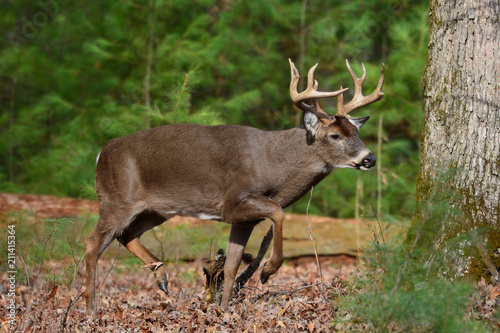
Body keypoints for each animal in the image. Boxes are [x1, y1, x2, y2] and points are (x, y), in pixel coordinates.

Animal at [86, 57, 384, 314]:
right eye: (335, 135)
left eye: (356, 132)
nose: (370, 158)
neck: (273, 166)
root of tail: (101, 153)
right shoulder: (233, 202)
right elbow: (278, 212)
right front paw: (268, 270)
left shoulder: (243, 220)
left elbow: (230, 266)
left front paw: (224, 309)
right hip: (116, 200)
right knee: (92, 245)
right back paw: (91, 308)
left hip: (156, 210)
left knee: (127, 235)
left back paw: (162, 279)